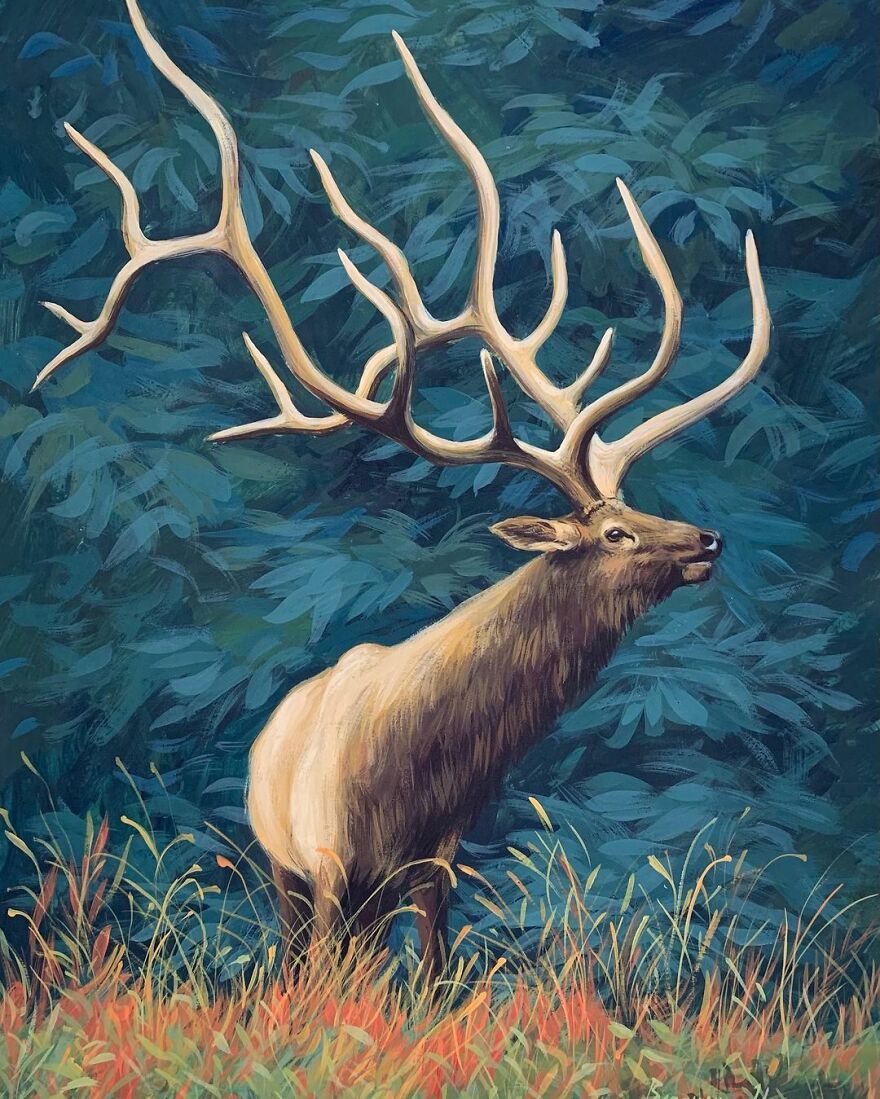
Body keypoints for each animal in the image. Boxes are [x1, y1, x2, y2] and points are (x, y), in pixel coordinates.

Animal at [31, 0, 770, 980]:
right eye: (612, 532)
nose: (706, 541)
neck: (422, 778)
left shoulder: (436, 865)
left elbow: (434, 979)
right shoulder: (329, 860)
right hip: (281, 866)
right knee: (298, 955)